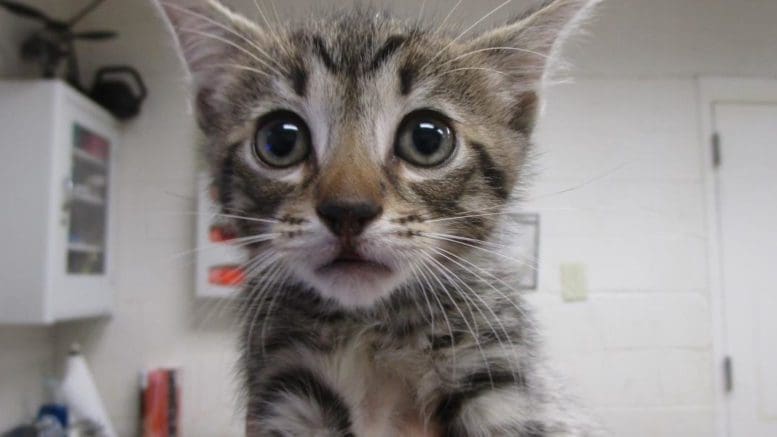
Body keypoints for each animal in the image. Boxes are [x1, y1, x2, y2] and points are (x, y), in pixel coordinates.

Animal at [155, 1, 596, 434]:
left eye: (427, 138)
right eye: (280, 139)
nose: (348, 210)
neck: (372, 325)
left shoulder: (497, 370)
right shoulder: (287, 379)